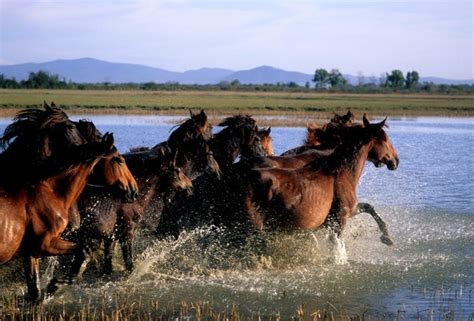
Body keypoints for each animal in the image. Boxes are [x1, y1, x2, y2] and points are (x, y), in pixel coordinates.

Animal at [0, 104, 130, 302]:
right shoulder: (46, 244)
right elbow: (84, 251)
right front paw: (57, 284)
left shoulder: (32, 251)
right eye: (119, 160)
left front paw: (51, 288)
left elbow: (35, 291)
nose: (133, 190)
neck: (47, 188)